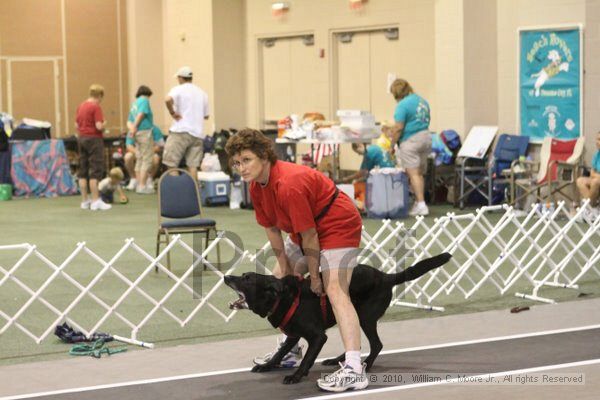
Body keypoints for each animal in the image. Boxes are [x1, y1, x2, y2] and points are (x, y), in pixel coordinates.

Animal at [225, 253, 450, 384]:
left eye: (247, 279)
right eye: (243, 275)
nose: (226, 277)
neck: (281, 298)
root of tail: (386, 276)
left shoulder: (317, 336)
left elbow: (307, 359)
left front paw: (296, 376)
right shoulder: (293, 335)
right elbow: (280, 352)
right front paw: (267, 365)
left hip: (365, 317)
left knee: (376, 344)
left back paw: (366, 363)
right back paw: (337, 360)